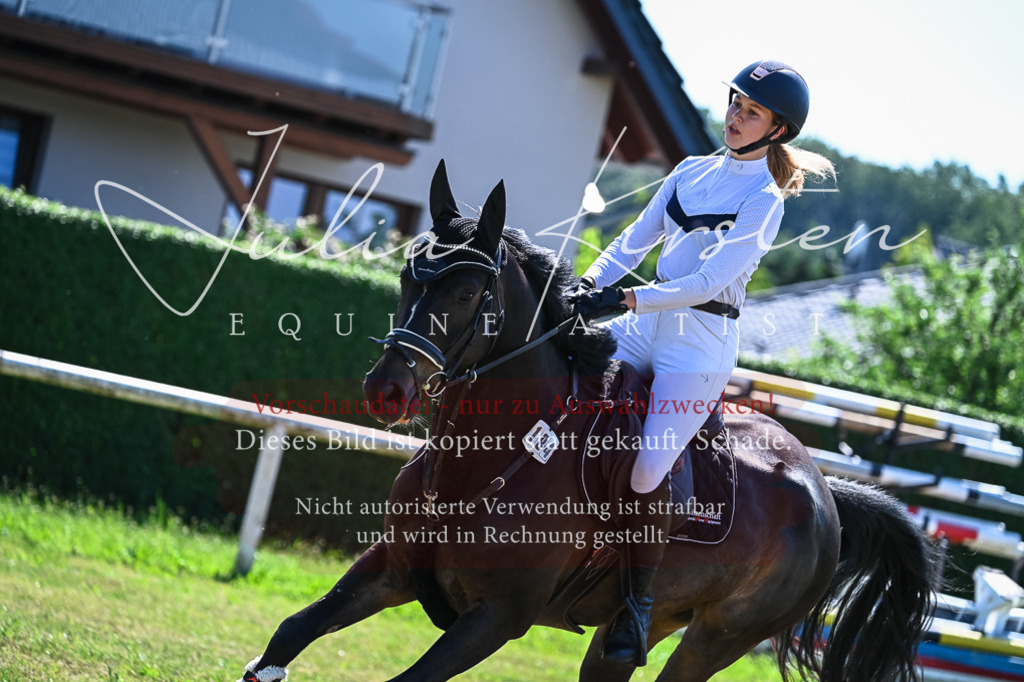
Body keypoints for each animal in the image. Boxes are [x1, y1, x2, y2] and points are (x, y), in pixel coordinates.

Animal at [238, 160, 938, 682]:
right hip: (637, 629)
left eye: (465, 294)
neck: (488, 458)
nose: (385, 391)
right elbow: (291, 632)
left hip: (719, 636)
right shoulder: (392, 567)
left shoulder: (496, 618)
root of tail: (824, 490)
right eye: (408, 275)